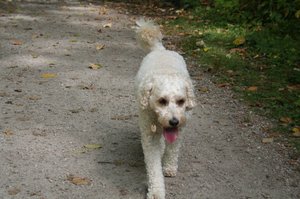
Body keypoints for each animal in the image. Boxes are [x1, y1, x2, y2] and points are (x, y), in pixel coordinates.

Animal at [135, 19, 196, 199]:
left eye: (181, 101)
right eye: (162, 101)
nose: (174, 121)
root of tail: (160, 50)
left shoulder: (180, 130)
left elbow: (173, 149)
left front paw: (169, 167)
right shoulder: (149, 134)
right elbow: (153, 166)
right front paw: (156, 191)